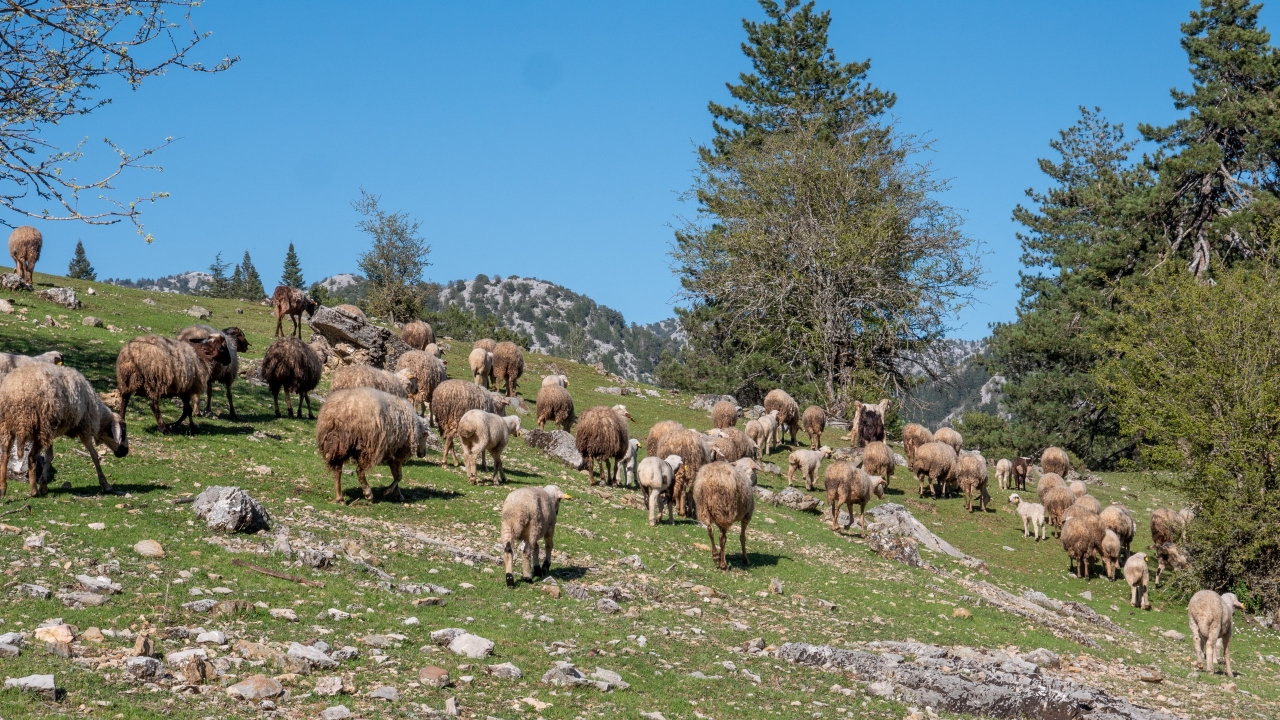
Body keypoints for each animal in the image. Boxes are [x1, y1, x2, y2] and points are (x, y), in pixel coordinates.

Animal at [0, 363, 127, 498]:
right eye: (123, 431)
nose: (125, 452)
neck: (98, 414)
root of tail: (15, 393)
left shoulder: (51, 432)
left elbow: (49, 456)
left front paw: (44, 485)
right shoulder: (84, 427)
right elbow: (94, 455)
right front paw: (105, 485)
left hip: (8, 427)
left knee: (5, 455)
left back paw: (3, 488)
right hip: (41, 426)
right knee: (31, 457)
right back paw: (34, 491)